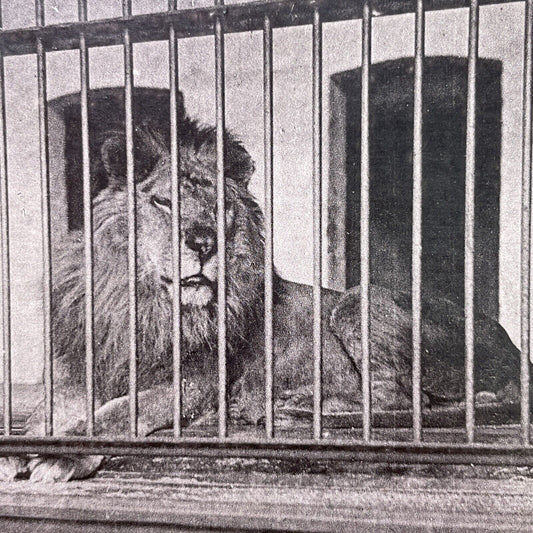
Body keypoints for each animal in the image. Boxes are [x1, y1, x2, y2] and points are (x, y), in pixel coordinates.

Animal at [0, 109, 524, 482]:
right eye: (164, 202)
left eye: (220, 208)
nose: (203, 242)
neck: (146, 303)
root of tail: (517, 350)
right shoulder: (76, 369)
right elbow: (46, 412)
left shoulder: (200, 381)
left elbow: (118, 412)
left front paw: (63, 456)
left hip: (358, 299)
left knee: (403, 399)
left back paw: (294, 405)